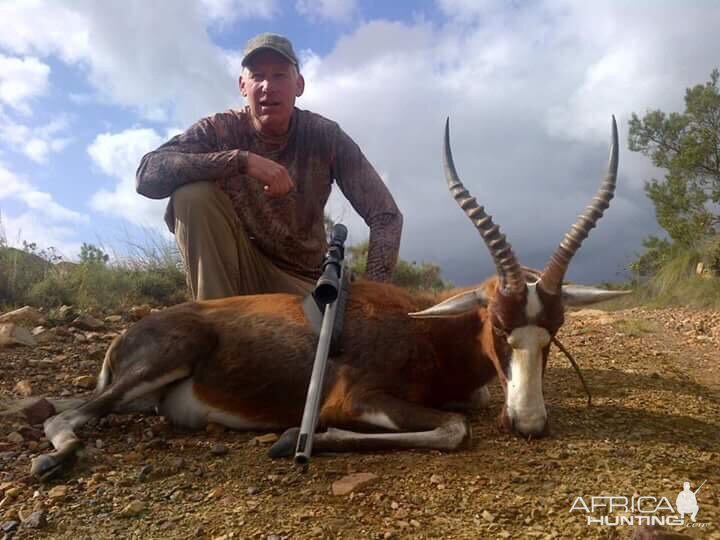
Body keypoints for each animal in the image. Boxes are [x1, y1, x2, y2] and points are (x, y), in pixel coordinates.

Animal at [26, 118, 624, 480]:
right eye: (498, 326)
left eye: (554, 330)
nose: (529, 423)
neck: (423, 328)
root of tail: (128, 336)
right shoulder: (355, 398)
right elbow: (455, 428)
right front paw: (292, 437)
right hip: (160, 361)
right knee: (67, 418)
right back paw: (54, 460)